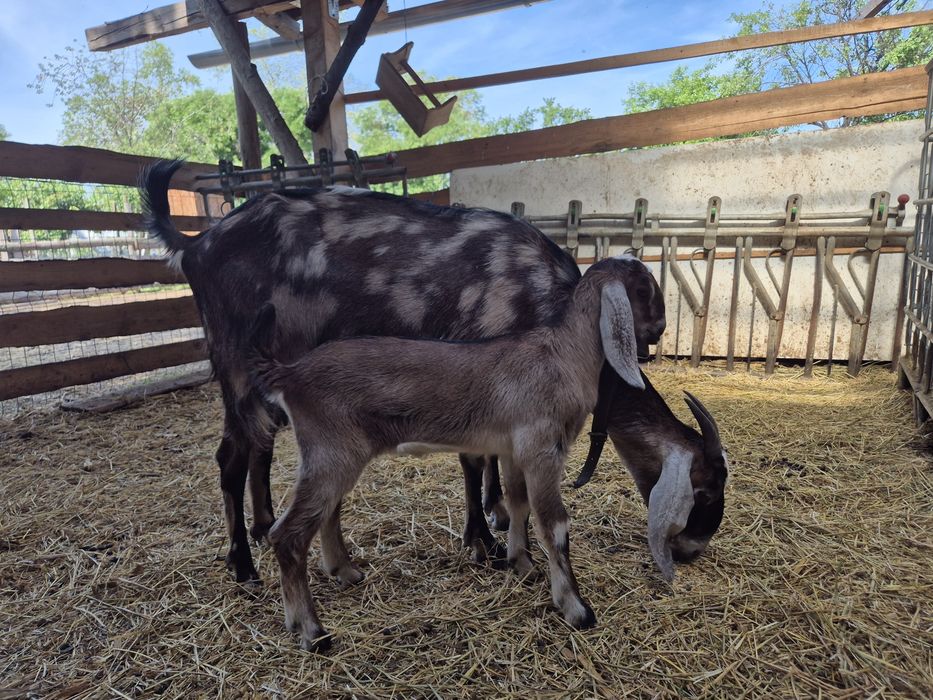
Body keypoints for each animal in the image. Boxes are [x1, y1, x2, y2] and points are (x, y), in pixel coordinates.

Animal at [141, 161, 724, 586]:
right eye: (703, 487)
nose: (693, 550)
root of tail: (195, 245)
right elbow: (474, 458)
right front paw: (484, 541)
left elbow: (495, 461)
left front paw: (496, 516)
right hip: (233, 362)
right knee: (231, 456)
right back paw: (241, 562)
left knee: (259, 445)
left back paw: (263, 530)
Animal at [249, 256, 652, 651]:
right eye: (645, 288)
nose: (657, 330)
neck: (564, 355)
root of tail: (290, 374)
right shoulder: (542, 448)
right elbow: (554, 525)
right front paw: (576, 608)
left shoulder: (513, 449)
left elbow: (518, 504)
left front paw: (521, 563)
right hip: (331, 451)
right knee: (288, 534)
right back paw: (311, 630)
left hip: (334, 453)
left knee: (327, 512)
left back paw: (344, 573)